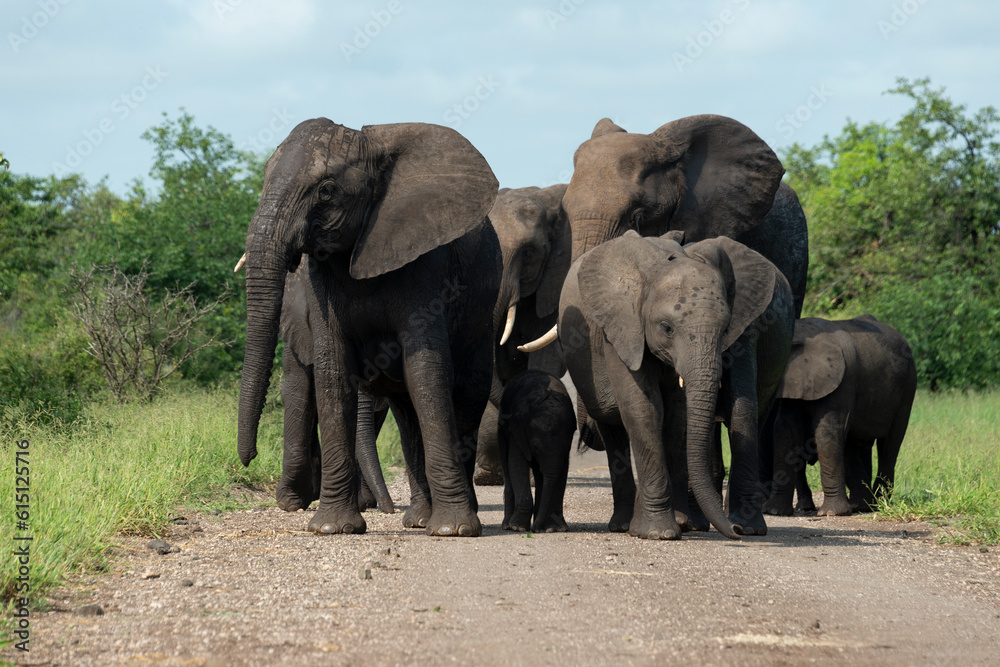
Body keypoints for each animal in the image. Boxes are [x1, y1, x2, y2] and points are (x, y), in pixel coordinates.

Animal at [239, 120, 504, 536]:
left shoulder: (424, 261)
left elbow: (427, 370)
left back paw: (452, 517)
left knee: (465, 396)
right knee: (407, 414)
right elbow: (332, 371)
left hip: (482, 317)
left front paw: (454, 530)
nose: (247, 458)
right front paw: (332, 528)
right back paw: (418, 519)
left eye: (326, 191)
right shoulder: (321, 281)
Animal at [496, 370, 576, 532]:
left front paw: (555, 529)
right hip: (502, 426)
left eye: (566, 446)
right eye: (535, 446)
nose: (535, 530)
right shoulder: (517, 429)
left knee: (541, 475)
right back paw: (508, 525)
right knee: (507, 468)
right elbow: (516, 464)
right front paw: (518, 528)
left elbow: (562, 471)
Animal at [760, 314, 916, 516]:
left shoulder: (842, 383)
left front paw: (831, 514)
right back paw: (861, 506)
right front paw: (774, 512)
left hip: (908, 385)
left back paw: (879, 504)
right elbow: (785, 430)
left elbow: (827, 432)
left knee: (889, 446)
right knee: (851, 443)